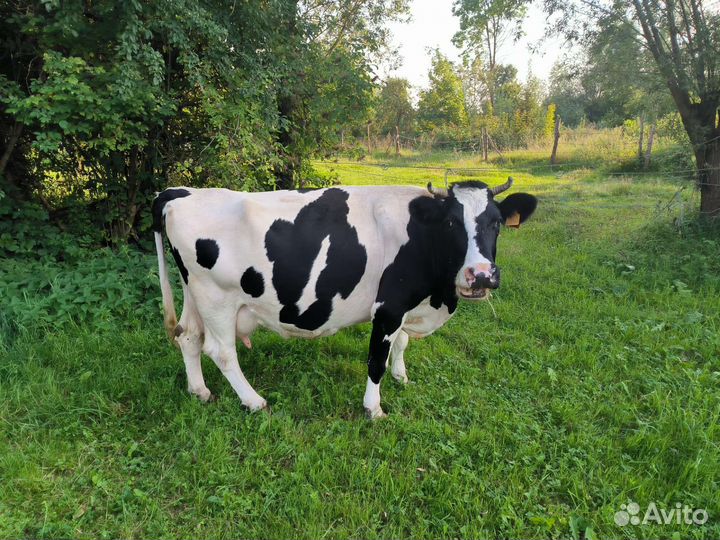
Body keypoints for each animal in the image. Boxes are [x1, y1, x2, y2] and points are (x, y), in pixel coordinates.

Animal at [152, 178, 537, 418]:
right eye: (452, 223)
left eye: (496, 222)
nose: (481, 275)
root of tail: (181, 192)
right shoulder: (389, 306)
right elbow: (376, 359)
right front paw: (374, 408)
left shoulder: (406, 305)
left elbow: (401, 344)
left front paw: (402, 377)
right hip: (216, 297)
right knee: (221, 351)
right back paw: (254, 401)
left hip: (194, 292)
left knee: (188, 336)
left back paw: (199, 391)